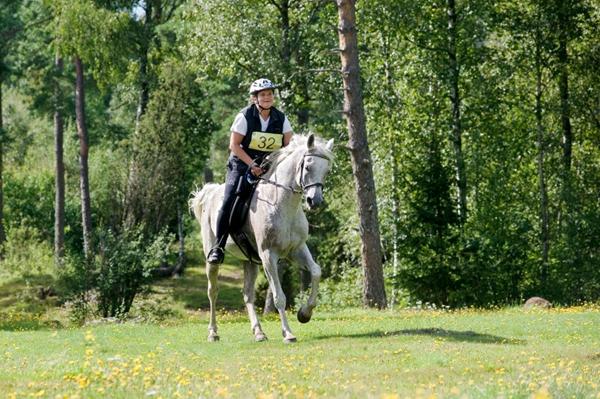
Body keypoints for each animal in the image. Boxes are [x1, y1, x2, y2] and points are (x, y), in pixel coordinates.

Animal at [191, 134, 336, 344]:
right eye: (308, 167)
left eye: (326, 170)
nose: (314, 201)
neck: (282, 204)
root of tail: (210, 193)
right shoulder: (269, 256)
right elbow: (279, 297)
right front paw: (288, 333)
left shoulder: (297, 249)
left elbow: (316, 272)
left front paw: (304, 313)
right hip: (212, 255)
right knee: (213, 291)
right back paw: (213, 333)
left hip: (249, 260)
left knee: (247, 294)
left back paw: (259, 332)